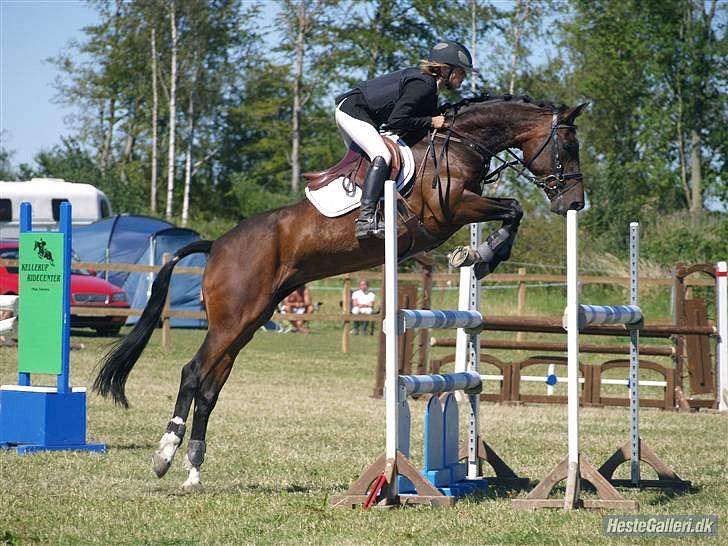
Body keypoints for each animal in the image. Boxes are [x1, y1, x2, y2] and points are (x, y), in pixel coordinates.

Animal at [94, 95, 587, 491]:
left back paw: (194, 471)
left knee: (211, 387)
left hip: (246, 322)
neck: (461, 142)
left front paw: (480, 256)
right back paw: (164, 454)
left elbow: (511, 211)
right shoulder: (451, 209)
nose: (574, 204)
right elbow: (513, 207)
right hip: (233, 320)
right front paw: (480, 254)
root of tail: (216, 245)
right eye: (568, 146)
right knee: (192, 373)